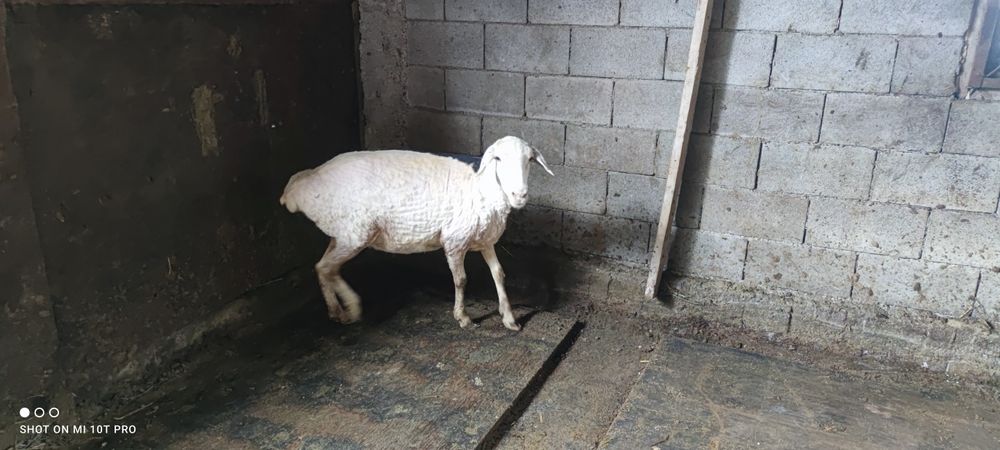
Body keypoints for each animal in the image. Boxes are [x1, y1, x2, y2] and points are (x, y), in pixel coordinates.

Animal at [280, 136, 554, 331]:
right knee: (328, 268)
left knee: (321, 267)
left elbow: (499, 274)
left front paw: (509, 318)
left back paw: (335, 311)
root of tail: (298, 187)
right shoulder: (455, 240)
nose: (520, 194)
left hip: (341, 234)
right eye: (498, 158)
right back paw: (352, 308)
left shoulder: (484, 240)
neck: (482, 188)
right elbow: (461, 280)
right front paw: (463, 317)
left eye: (530, 160)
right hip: (355, 232)